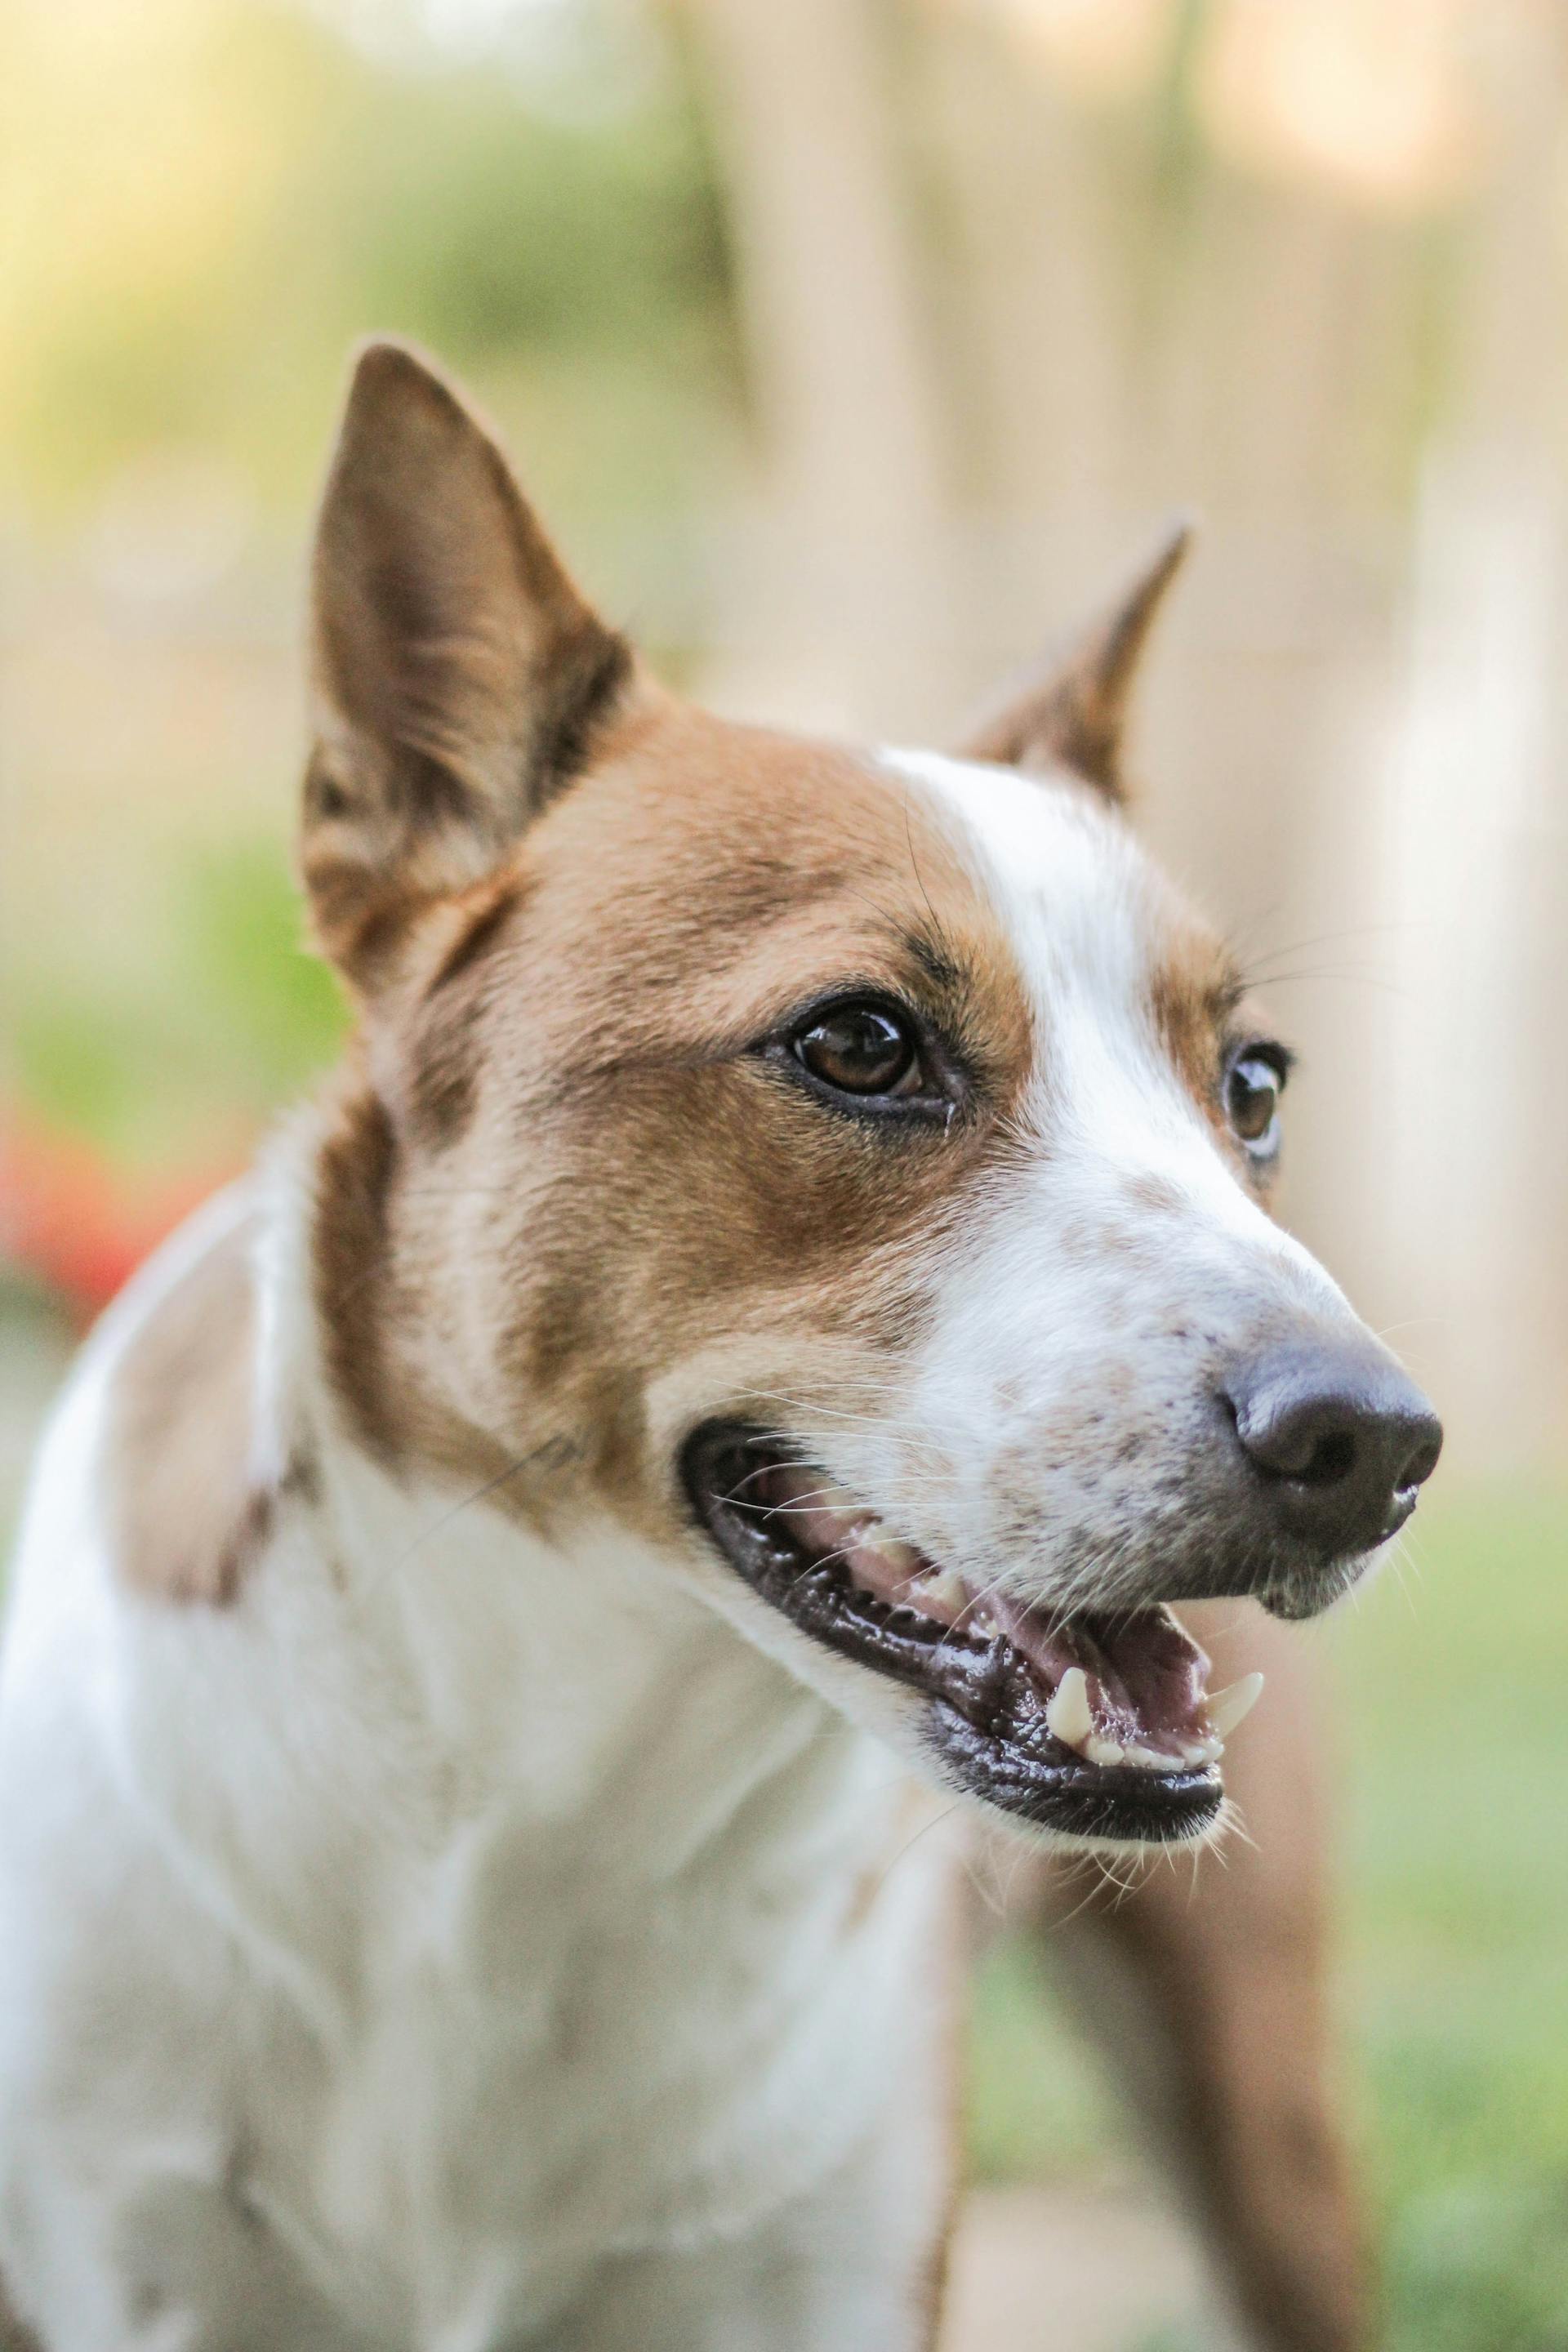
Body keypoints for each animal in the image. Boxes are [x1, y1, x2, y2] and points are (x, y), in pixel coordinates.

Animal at [0, 343, 1438, 2352]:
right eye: (859, 1045)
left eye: (1252, 1086)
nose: (1375, 1441)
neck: (545, 1806)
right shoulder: (132, 2264)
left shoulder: (823, 2269)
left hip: (1265, 2095)